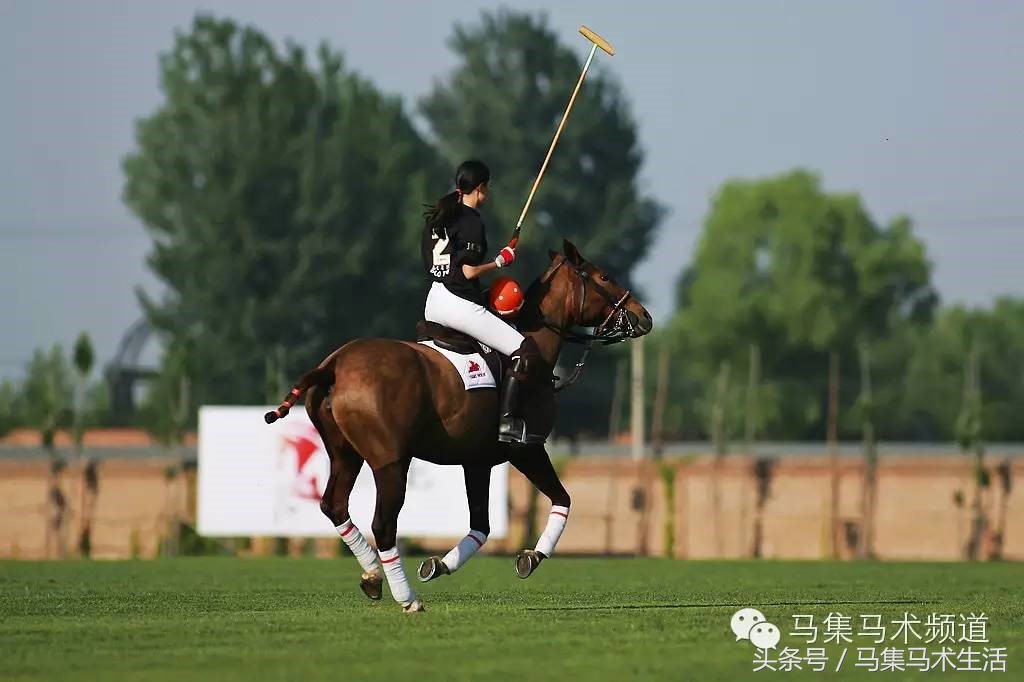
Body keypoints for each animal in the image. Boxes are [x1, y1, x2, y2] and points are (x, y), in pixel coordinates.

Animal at [265, 240, 652, 611]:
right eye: (603, 276)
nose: (644, 317)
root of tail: (333, 365)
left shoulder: (477, 461)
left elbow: (481, 525)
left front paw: (439, 565)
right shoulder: (527, 447)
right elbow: (563, 499)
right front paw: (532, 556)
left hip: (344, 454)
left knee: (334, 506)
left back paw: (373, 575)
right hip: (390, 461)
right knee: (383, 524)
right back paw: (407, 598)